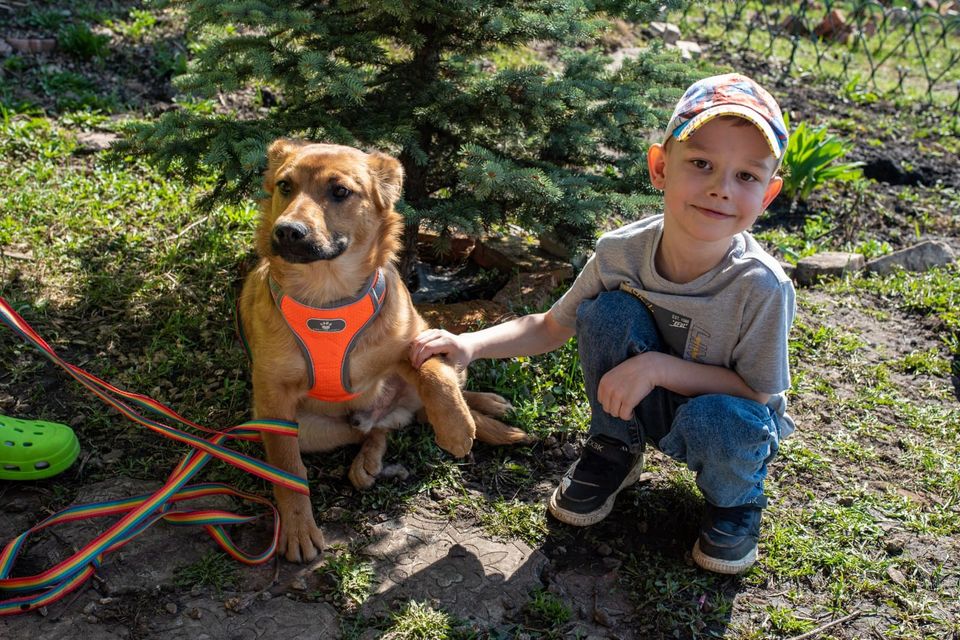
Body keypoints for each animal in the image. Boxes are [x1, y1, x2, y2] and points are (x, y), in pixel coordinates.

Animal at [236, 139, 528, 560]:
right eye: (284, 186)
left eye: (340, 191)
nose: (288, 231)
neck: (329, 299)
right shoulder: (273, 403)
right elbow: (288, 470)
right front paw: (297, 527)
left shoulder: (415, 341)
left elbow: (434, 377)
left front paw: (457, 427)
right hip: (301, 427)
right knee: (377, 431)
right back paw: (368, 461)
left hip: (443, 346)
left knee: (433, 395)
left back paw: (485, 404)